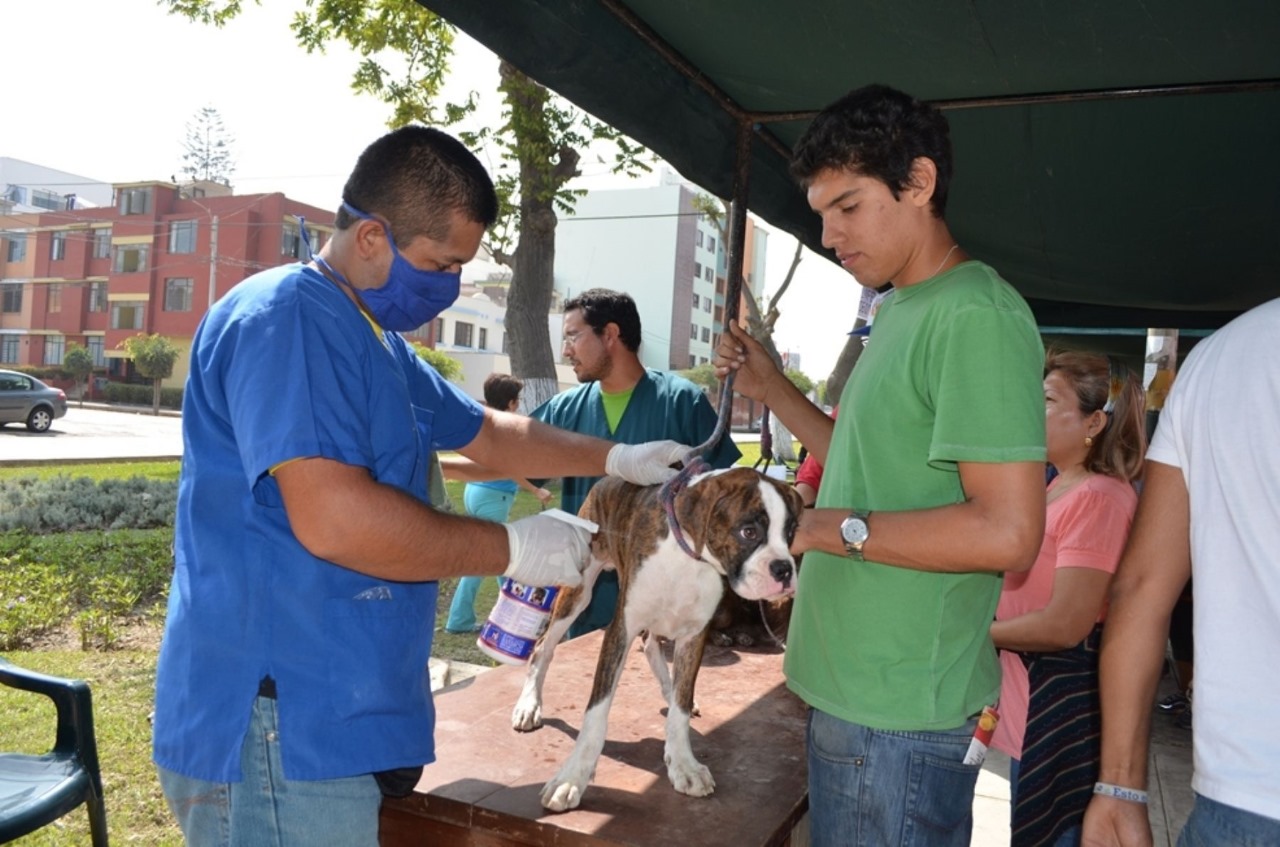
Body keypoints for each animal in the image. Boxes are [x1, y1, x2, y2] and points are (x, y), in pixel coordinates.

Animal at [509, 468, 798, 813]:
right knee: (543, 647)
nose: (784, 569)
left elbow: (681, 709)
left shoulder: (693, 636)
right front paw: (572, 777)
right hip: (578, 591)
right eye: (749, 532)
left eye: (791, 531)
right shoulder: (620, 630)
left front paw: (684, 763)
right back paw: (529, 705)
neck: (688, 558)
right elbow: (595, 714)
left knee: (651, 646)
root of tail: (606, 480)